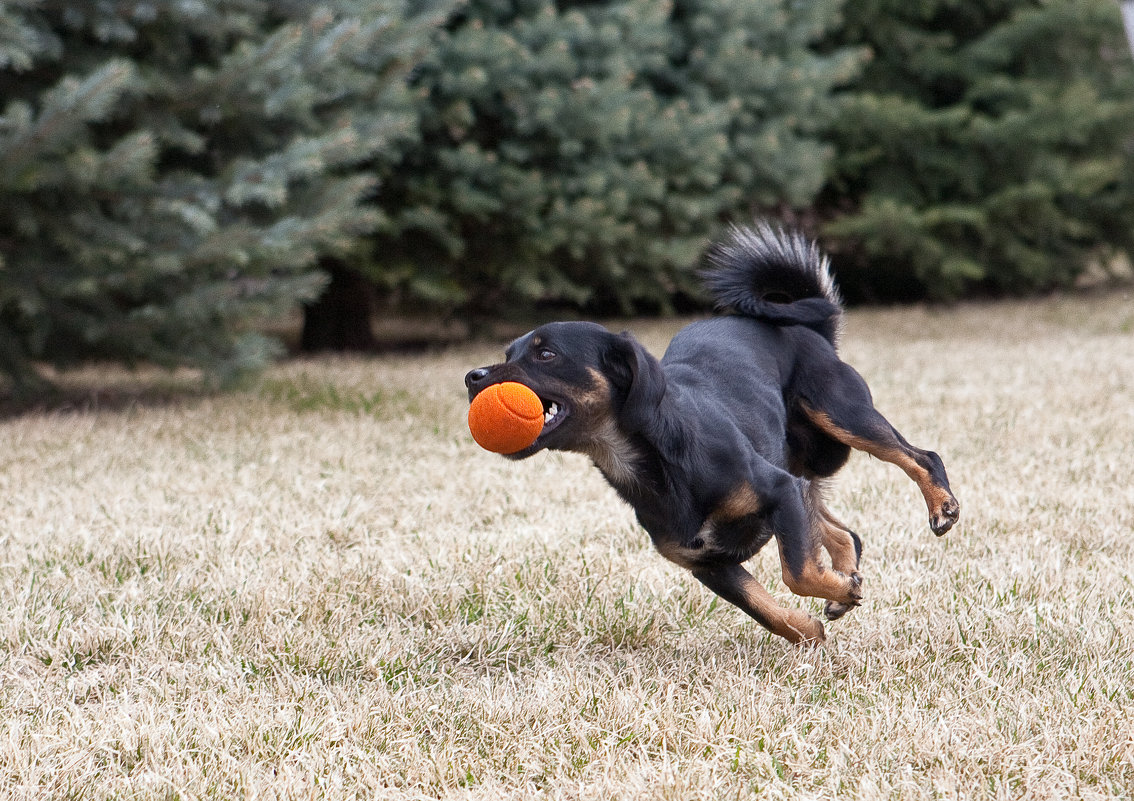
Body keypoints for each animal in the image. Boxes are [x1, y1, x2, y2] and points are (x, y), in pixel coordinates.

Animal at [460, 224, 957, 644]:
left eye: (545, 354)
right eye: (509, 352)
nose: (472, 376)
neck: (654, 460)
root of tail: (809, 328)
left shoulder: (778, 490)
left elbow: (796, 572)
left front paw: (836, 591)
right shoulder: (707, 562)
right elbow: (766, 608)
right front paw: (811, 625)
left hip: (840, 413)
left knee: (920, 456)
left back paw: (941, 507)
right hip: (803, 468)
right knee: (844, 532)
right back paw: (843, 581)